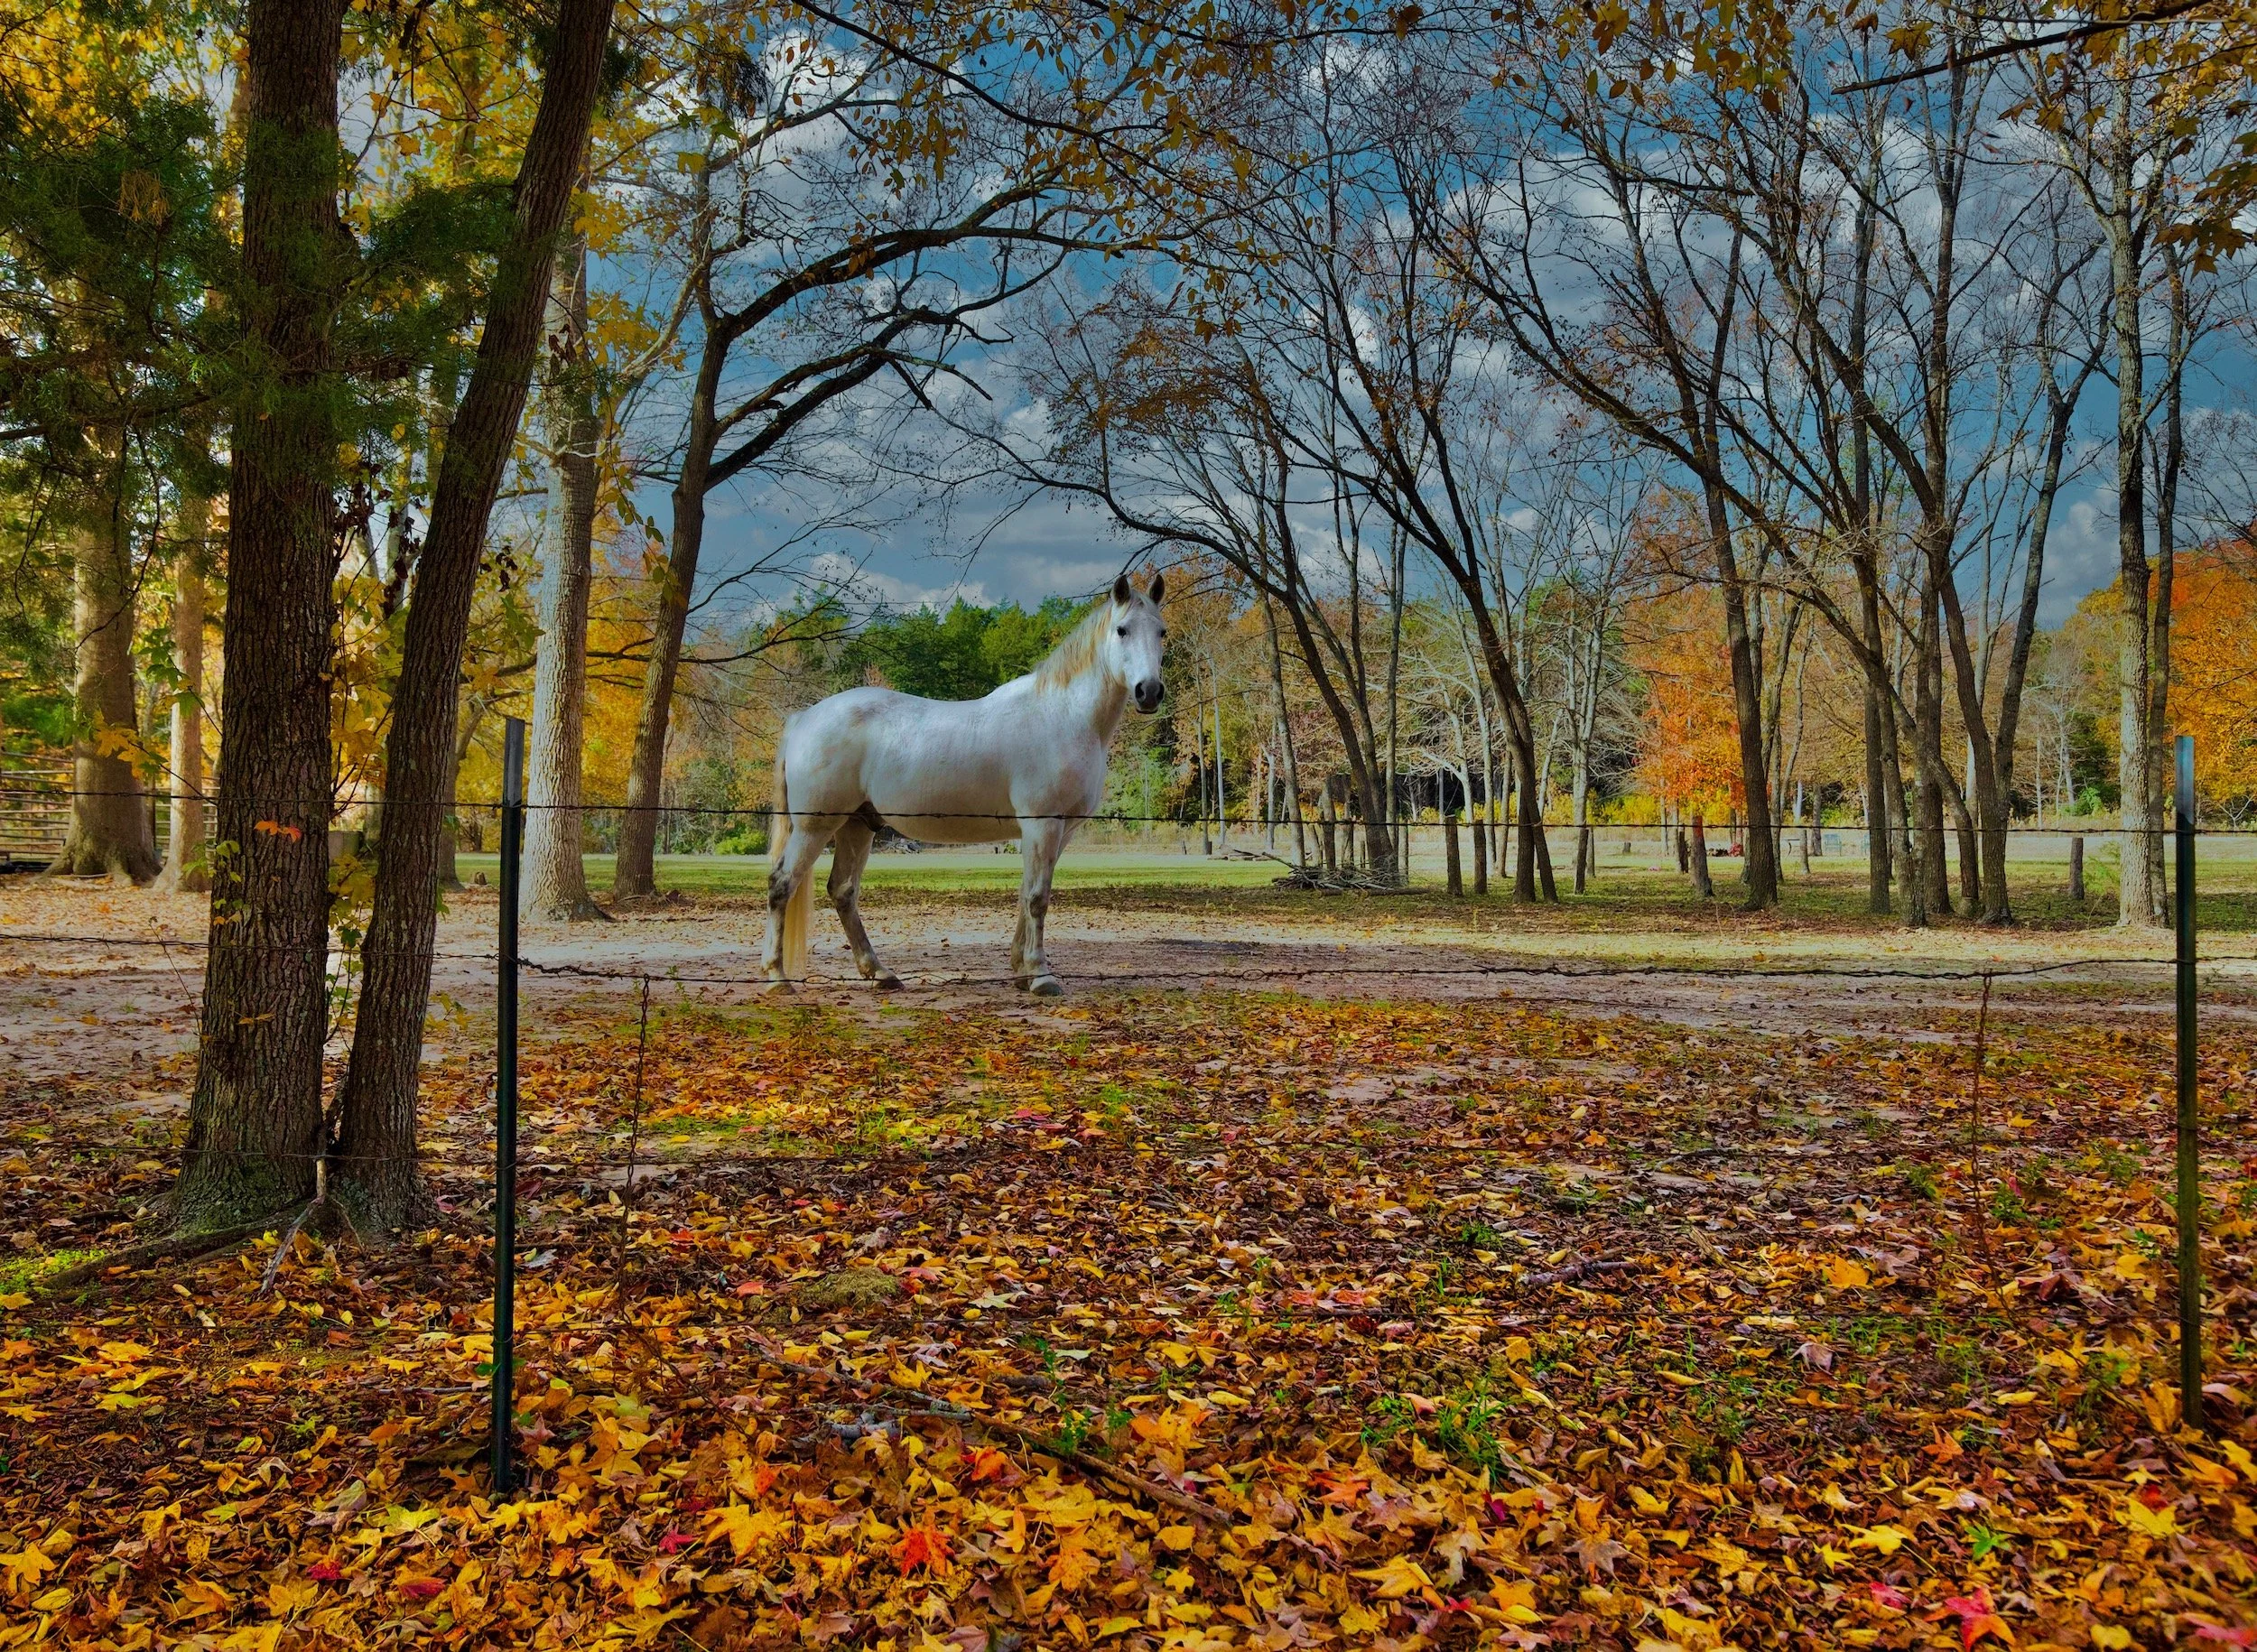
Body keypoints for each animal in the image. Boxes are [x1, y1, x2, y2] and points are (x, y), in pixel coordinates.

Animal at [764, 572, 1167, 994]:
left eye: (1162, 632)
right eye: (1122, 630)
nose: (1150, 692)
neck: (1063, 715)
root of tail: (804, 718)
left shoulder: (1060, 831)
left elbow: (1025, 894)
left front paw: (1021, 971)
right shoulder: (1043, 825)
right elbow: (1037, 898)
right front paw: (1041, 976)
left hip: (857, 826)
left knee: (843, 892)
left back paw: (879, 972)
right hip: (815, 827)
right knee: (782, 884)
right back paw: (777, 977)